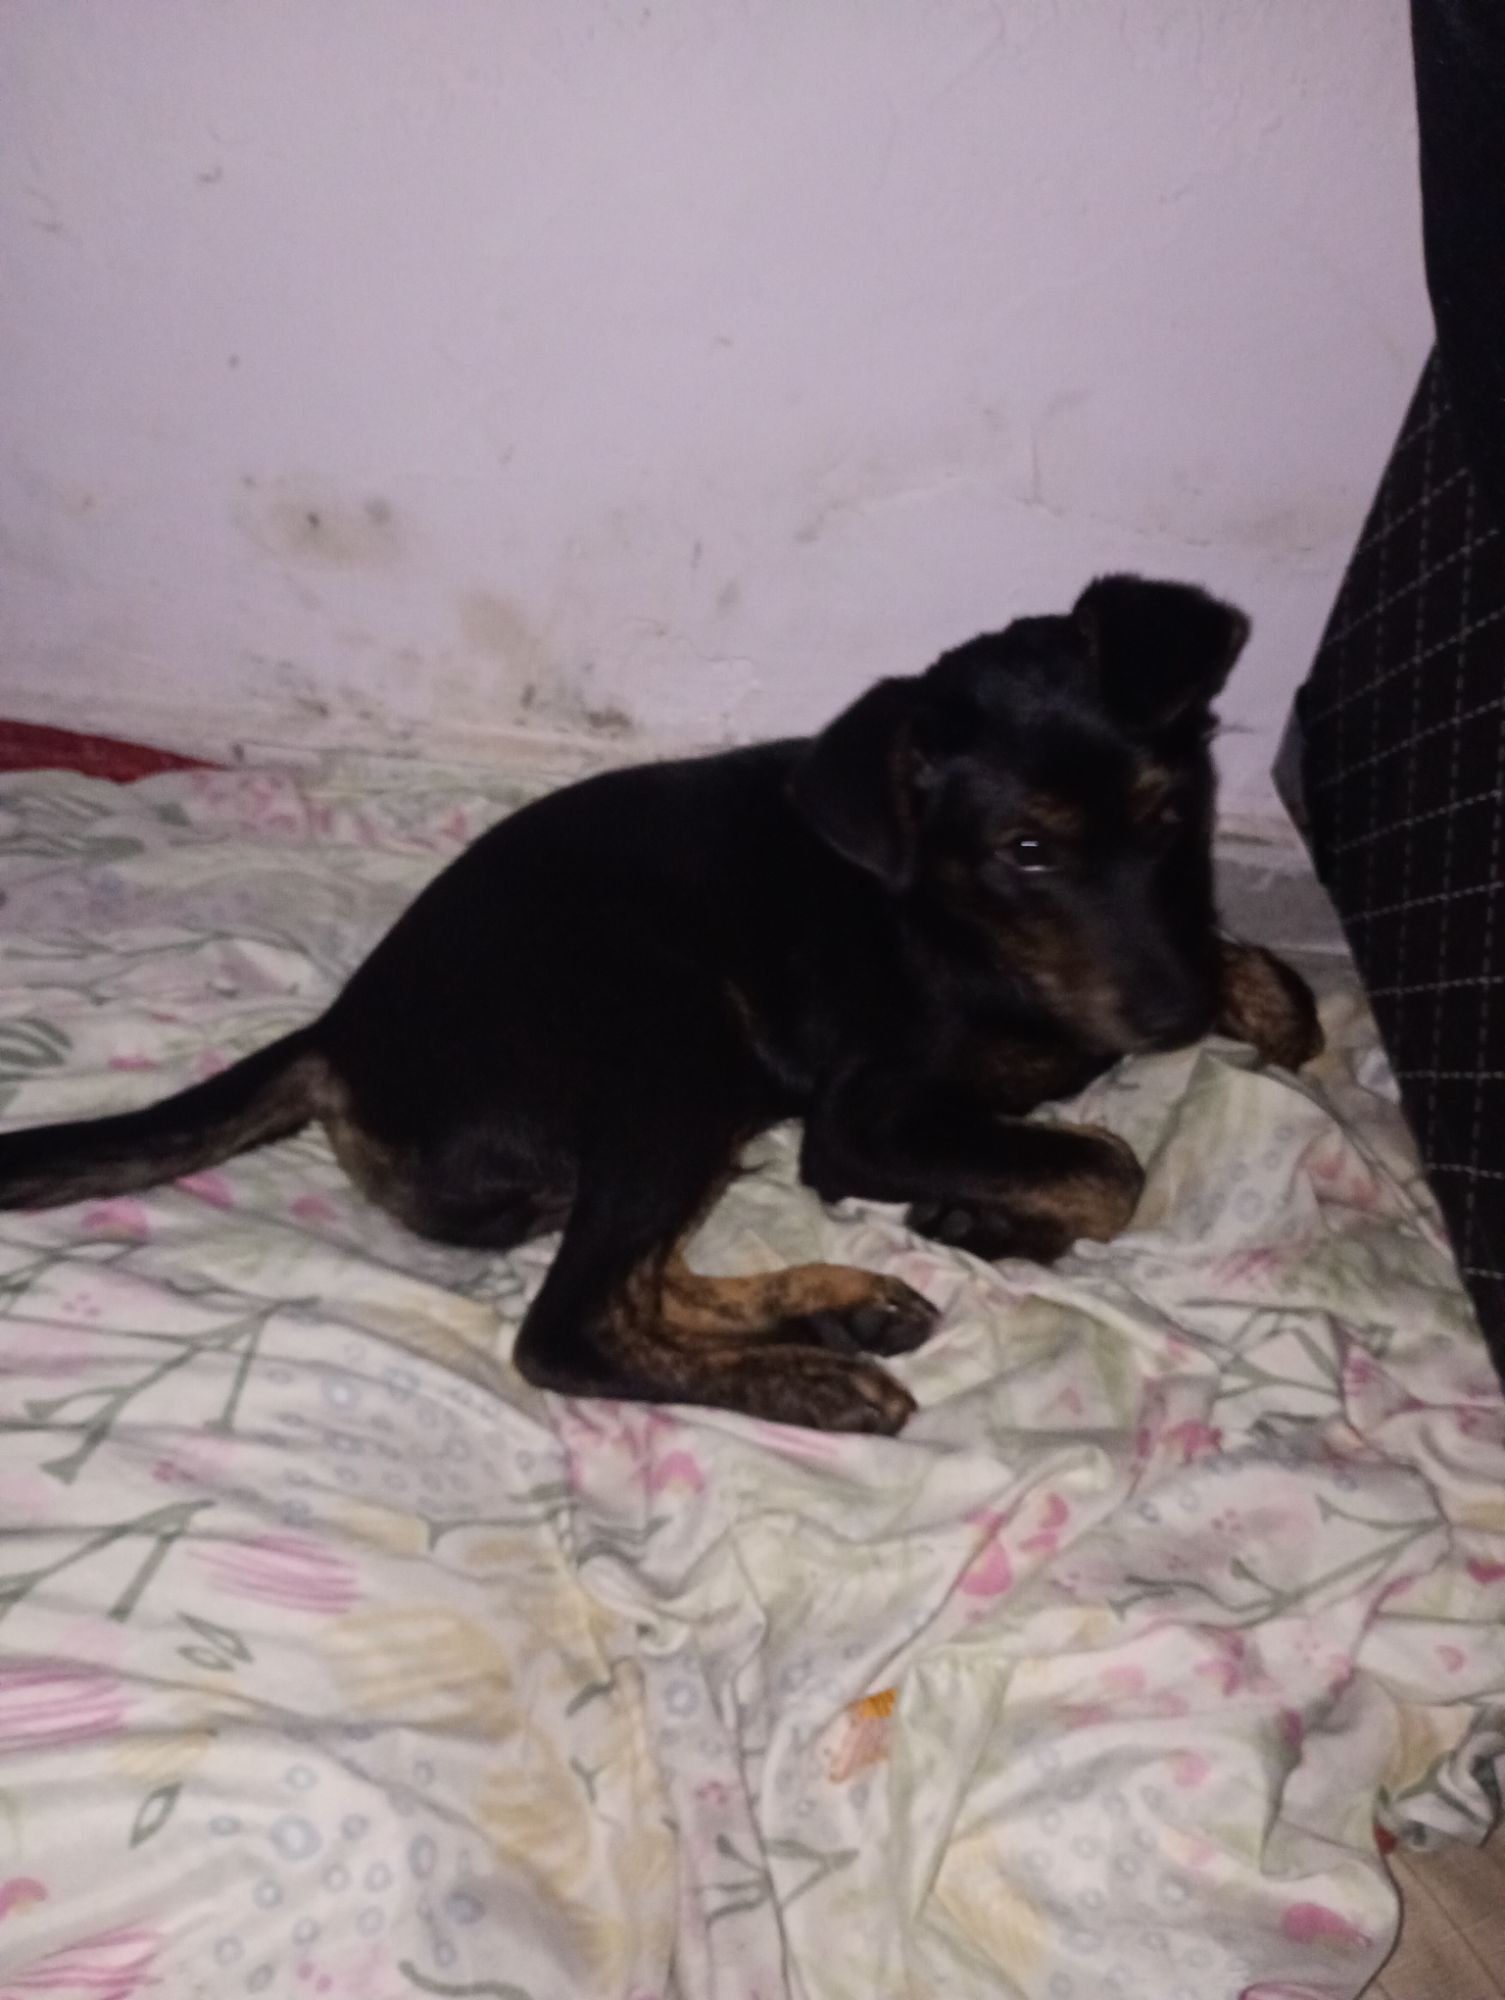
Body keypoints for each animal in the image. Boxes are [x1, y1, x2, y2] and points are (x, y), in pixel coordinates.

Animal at [0, 575, 1320, 1433]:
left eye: (1168, 811)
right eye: (1027, 849)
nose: (1168, 1017)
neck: (959, 928)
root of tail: (339, 1035)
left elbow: (1253, 973)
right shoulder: (863, 1119)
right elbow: (1106, 1168)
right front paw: (1002, 1212)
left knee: (642, 1274)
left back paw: (832, 1309)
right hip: (673, 1039)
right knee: (569, 1323)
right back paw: (808, 1375)